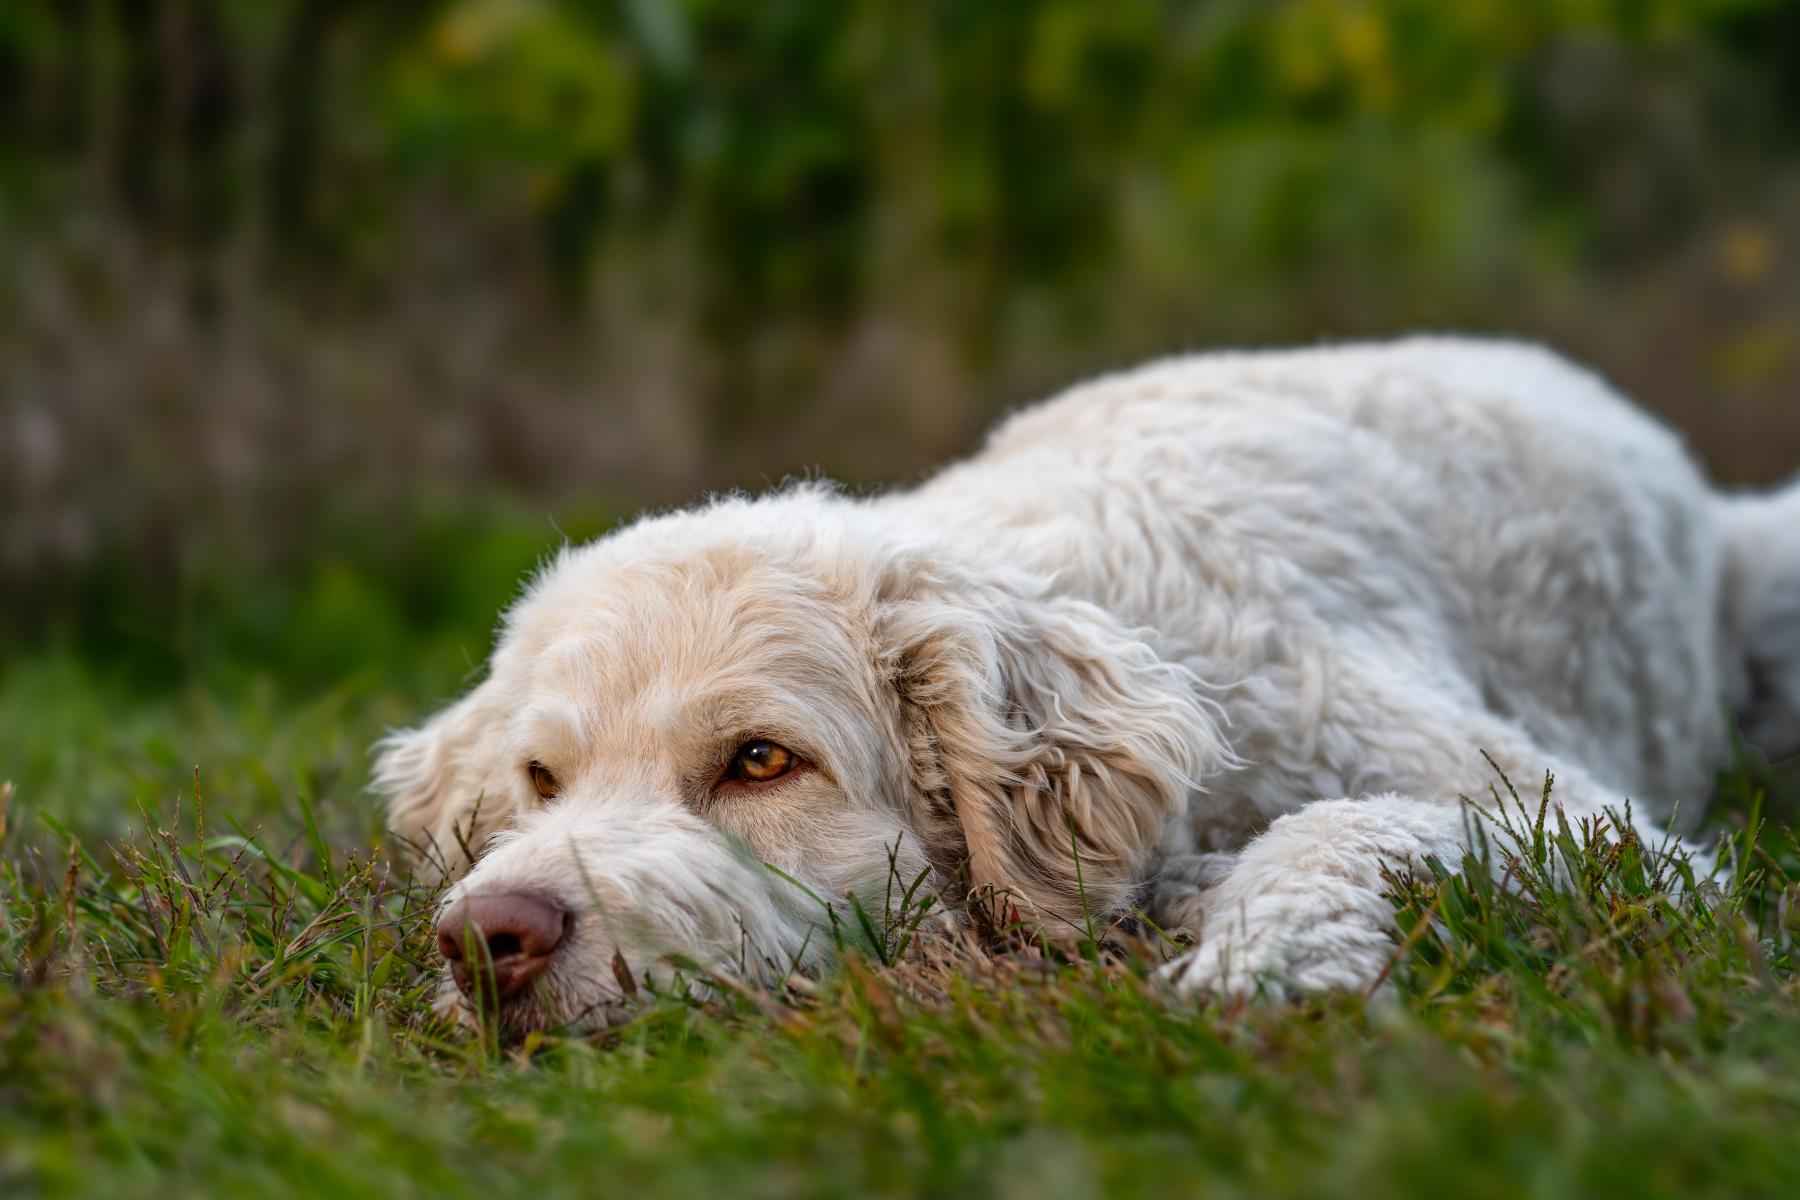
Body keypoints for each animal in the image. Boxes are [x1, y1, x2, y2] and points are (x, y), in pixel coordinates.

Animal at [374, 337, 1800, 1035]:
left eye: (764, 761)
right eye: (540, 779)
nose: (486, 938)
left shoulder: (1607, 838)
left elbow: (1339, 827)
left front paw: (1265, 962)